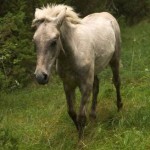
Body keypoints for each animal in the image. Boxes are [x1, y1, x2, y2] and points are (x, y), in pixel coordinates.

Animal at [31, 4, 122, 140]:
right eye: (35, 42)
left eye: (54, 41)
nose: (40, 76)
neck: (73, 54)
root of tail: (107, 14)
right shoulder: (68, 85)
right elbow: (72, 112)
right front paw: (81, 130)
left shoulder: (85, 85)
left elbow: (81, 115)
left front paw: (81, 140)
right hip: (93, 72)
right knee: (96, 86)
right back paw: (93, 116)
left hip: (114, 60)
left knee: (116, 82)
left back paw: (119, 107)